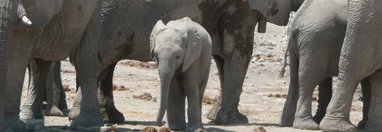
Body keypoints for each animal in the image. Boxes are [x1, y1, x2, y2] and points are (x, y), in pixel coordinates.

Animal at [68, 0, 304, 128]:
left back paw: (108, 117)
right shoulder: (239, 7)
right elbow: (238, 52)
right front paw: (234, 121)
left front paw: (215, 117)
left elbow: (223, 57)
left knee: (104, 63)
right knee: (99, 61)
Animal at [280, 0, 370, 130]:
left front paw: (363, 124)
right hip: (314, 42)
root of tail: (296, 22)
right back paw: (308, 125)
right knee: (309, 80)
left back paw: (287, 123)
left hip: (303, 45)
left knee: (295, 79)